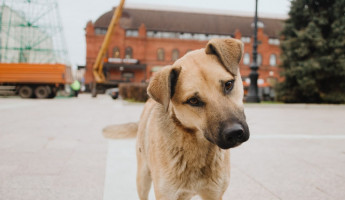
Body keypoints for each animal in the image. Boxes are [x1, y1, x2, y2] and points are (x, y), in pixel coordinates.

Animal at [103, 38, 250, 200]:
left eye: (228, 84)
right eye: (193, 100)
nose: (234, 133)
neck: (197, 146)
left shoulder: (214, 194)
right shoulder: (166, 194)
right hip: (142, 178)